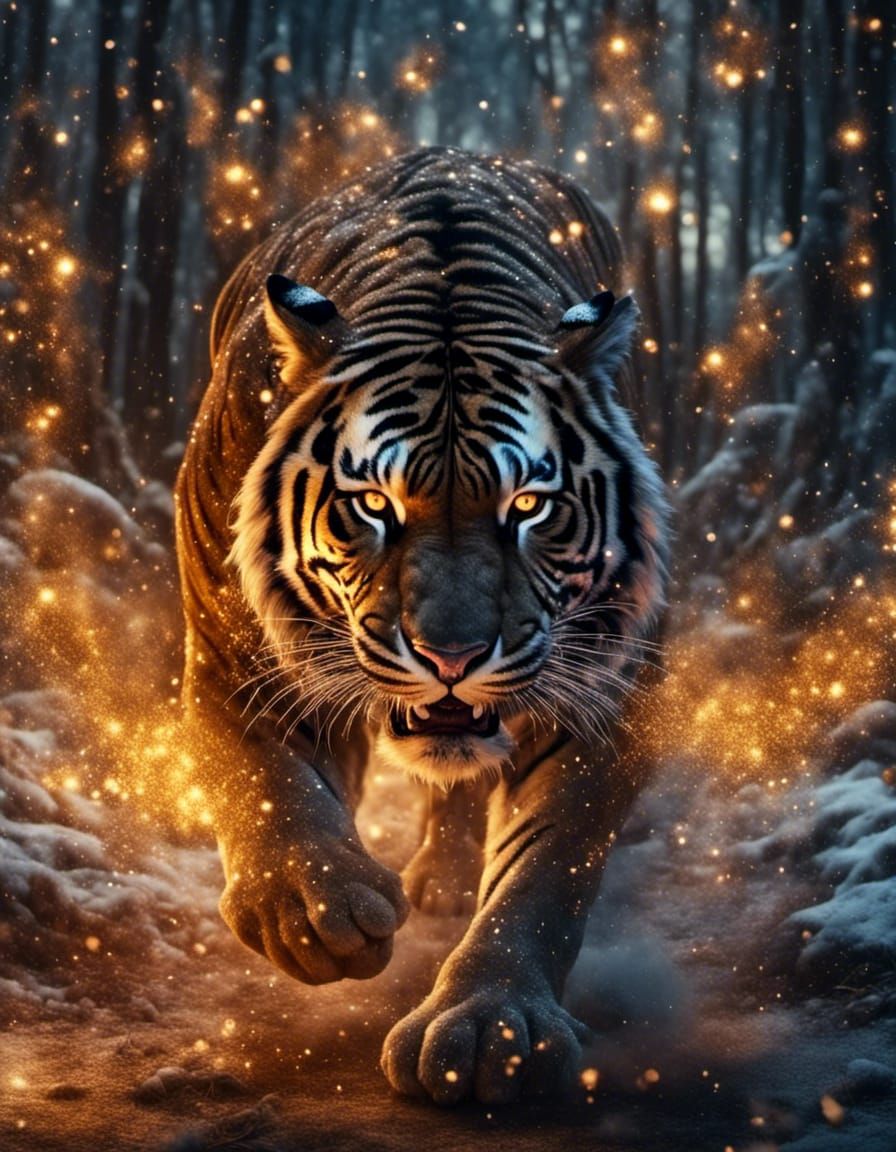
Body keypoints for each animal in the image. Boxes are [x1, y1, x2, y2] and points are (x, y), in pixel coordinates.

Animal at [175, 146, 669, 1105]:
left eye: (528, 506)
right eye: (372, 504)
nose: (452, 655)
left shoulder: (607, 685)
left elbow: (548, 862)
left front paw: (494, 1028)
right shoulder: (233, 650)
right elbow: (263, 780)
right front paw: (314, 910)